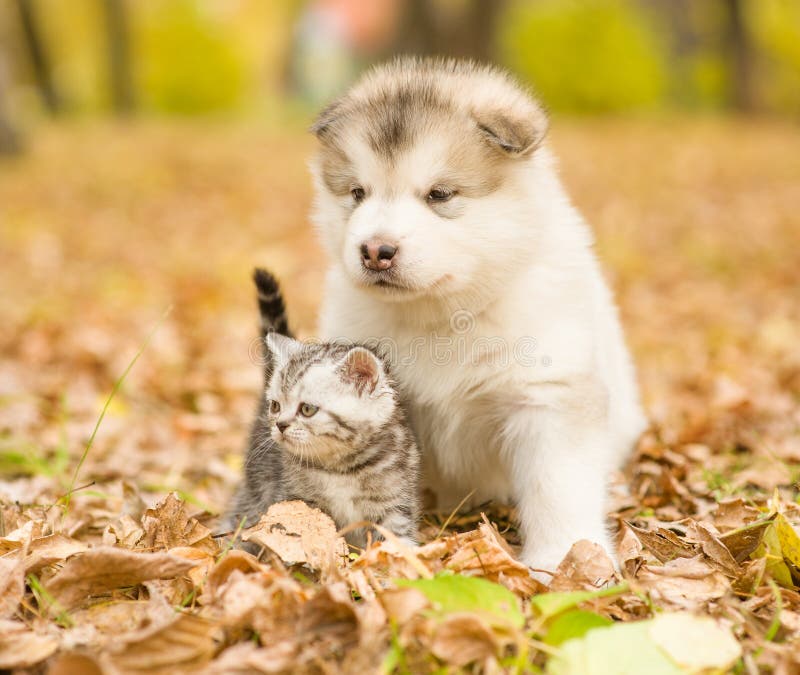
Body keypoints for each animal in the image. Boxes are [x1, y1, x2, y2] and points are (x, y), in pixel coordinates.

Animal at [222, 268, 422, 548]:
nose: (280, 425)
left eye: (307, 409)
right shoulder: (295, 499)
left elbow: (398, 541)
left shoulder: (394, 503)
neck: (342, 470)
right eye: (276, 405)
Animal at [306, 55, 644, 580]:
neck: (442, 315)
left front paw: (563, 559)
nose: (375, 250)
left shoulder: (548, 397)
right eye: (357, 192)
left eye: (440, 194)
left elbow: (557, 488)